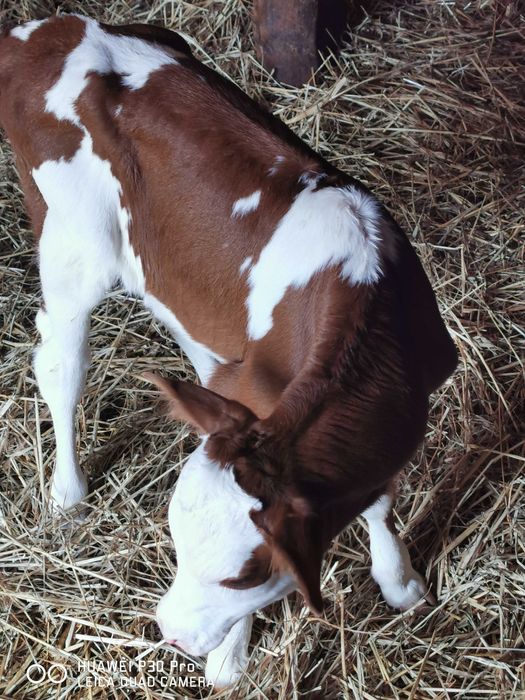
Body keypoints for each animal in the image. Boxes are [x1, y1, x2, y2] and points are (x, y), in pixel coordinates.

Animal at [0, 16, 456, 688]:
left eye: (246, 575)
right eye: (175, 537)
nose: (170, 634)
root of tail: (41, 31)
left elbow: (375, 496)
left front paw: (399, 582)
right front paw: (229, 659)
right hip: (71, 243)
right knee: (61, 363)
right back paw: (67, 492)